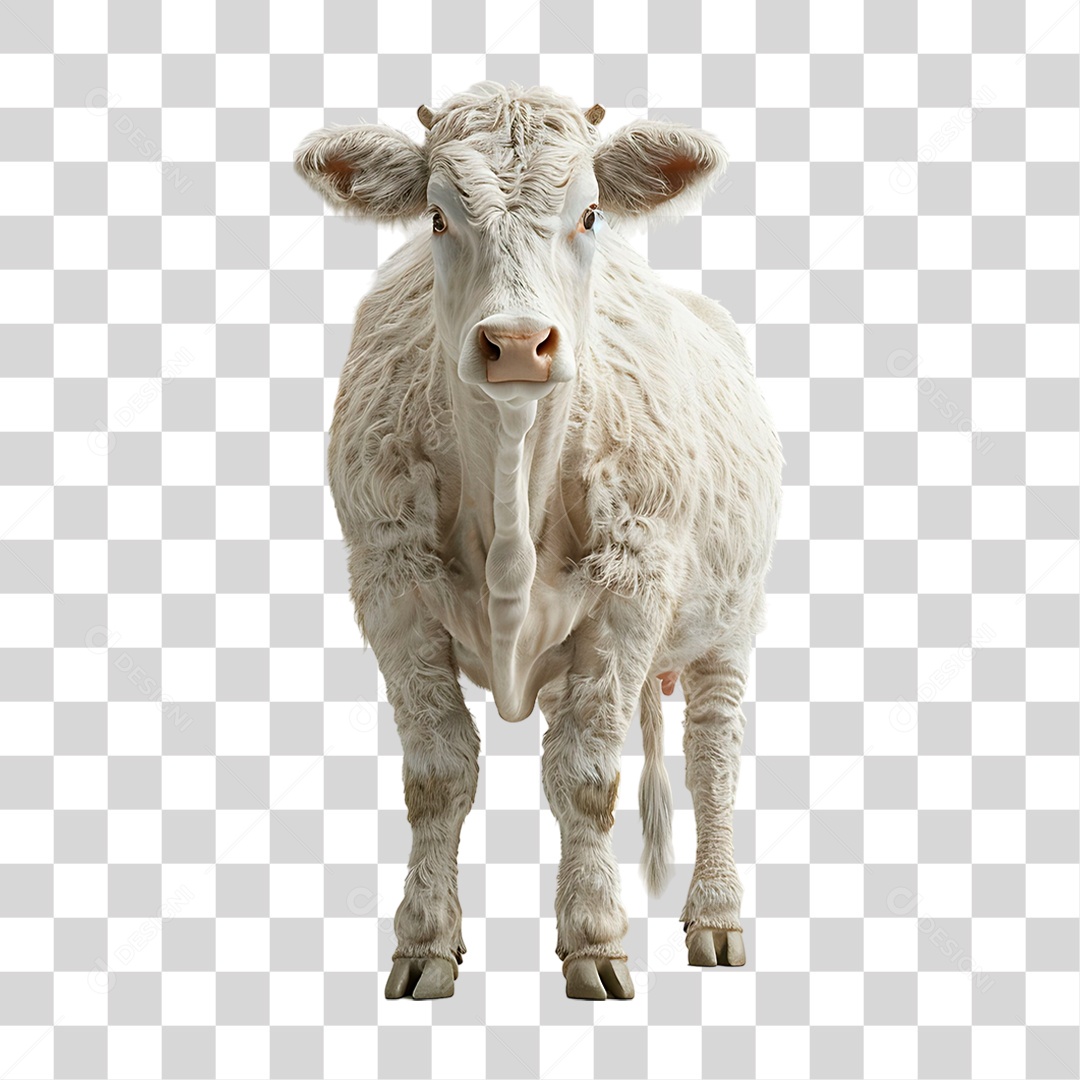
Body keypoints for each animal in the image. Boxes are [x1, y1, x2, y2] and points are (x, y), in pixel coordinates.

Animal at [295, 81, 784, 1001]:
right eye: (439, 217)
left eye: (589, 213)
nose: (516, 342)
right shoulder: (392, 587)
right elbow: (439, 773)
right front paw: (425, 943)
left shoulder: (630, 593)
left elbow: (588, 779)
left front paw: (596, 941)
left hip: (731, 622)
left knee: (711, 758)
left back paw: (717, 916)